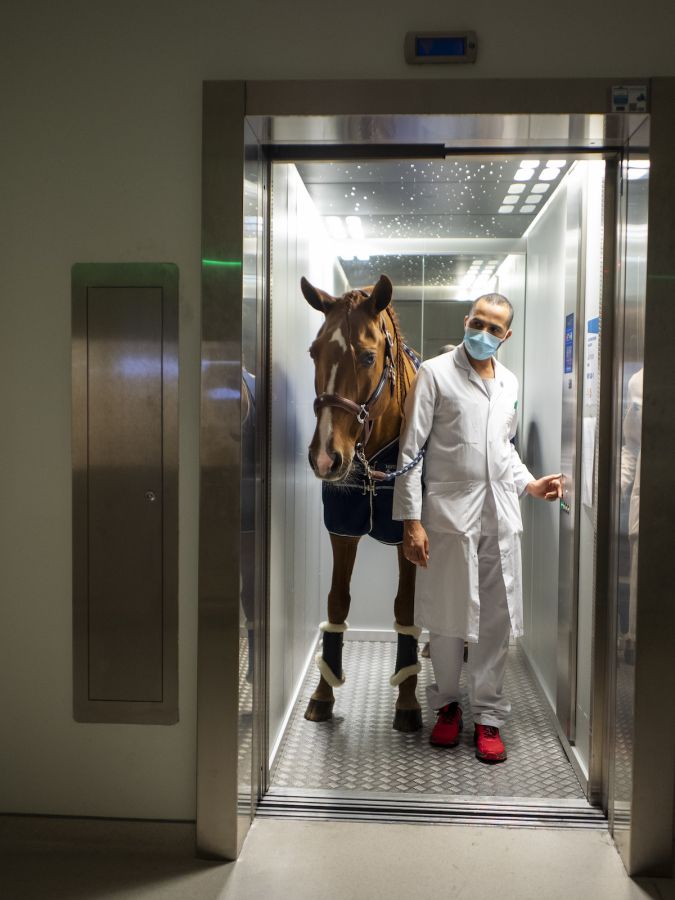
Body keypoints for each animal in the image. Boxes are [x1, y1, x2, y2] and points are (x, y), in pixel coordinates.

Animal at [302, 272, 422, 732]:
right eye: (314, 351)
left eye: (369, 357)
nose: (325, 457)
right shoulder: (343, 528)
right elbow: (337, 601)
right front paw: (323, 692)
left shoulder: (408, 539)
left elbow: (405, 608)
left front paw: (407, 698)